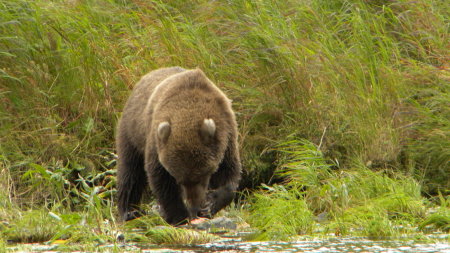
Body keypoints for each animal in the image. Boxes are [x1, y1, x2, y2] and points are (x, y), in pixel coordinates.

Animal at [118, 66, 241, 224]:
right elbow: (160, 179)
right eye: (179, 179)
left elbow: (229, 172)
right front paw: (179, 215)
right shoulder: (156, 141)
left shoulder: (227, 133)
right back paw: (129, 212)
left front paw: (210, 204)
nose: (195, 207)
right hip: (132, 132)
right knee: (130, 172)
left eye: (203, 176)